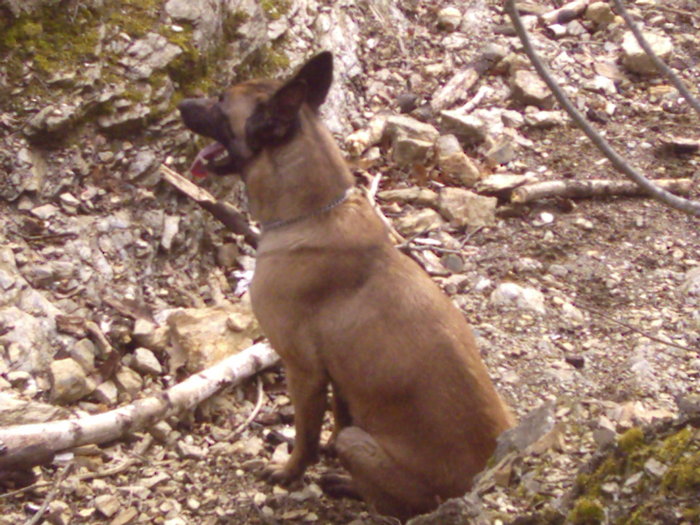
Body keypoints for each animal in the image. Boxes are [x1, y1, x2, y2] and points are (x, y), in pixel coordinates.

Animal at [176, 51, 516, 516]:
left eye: (221, 101)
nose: (180, 103)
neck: (315, 211)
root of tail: (479, 482)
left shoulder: (303, 371)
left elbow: (306, 436)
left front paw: (289, 472)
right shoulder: (339, 378)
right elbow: (337, 419)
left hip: (367, 448)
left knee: (395, 504)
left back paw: (345, 484)